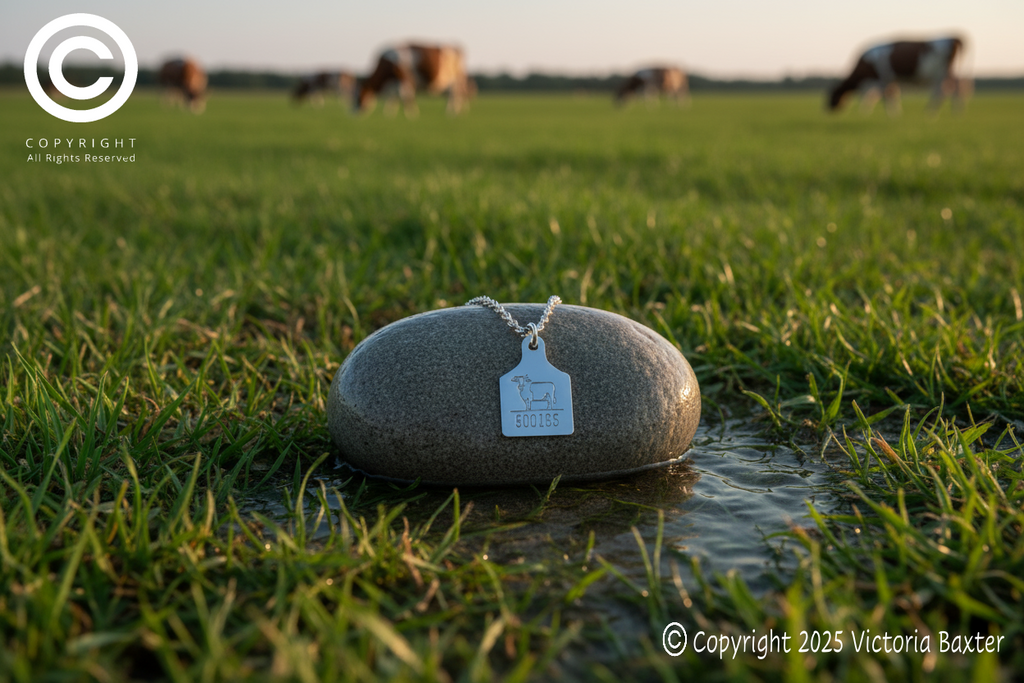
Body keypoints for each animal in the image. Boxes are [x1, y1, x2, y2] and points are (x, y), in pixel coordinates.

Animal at [828, 37, 967, 114]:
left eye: (832, 96)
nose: (826, 108)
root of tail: (954, 38)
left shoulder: (883, 77)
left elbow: (885, 96)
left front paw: (890, 114)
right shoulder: (890, 79)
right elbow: (892, 94)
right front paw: (897, 112)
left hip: (942, 72)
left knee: (947, 90)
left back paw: (936, 112)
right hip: (944, 72)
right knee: (952, 88)